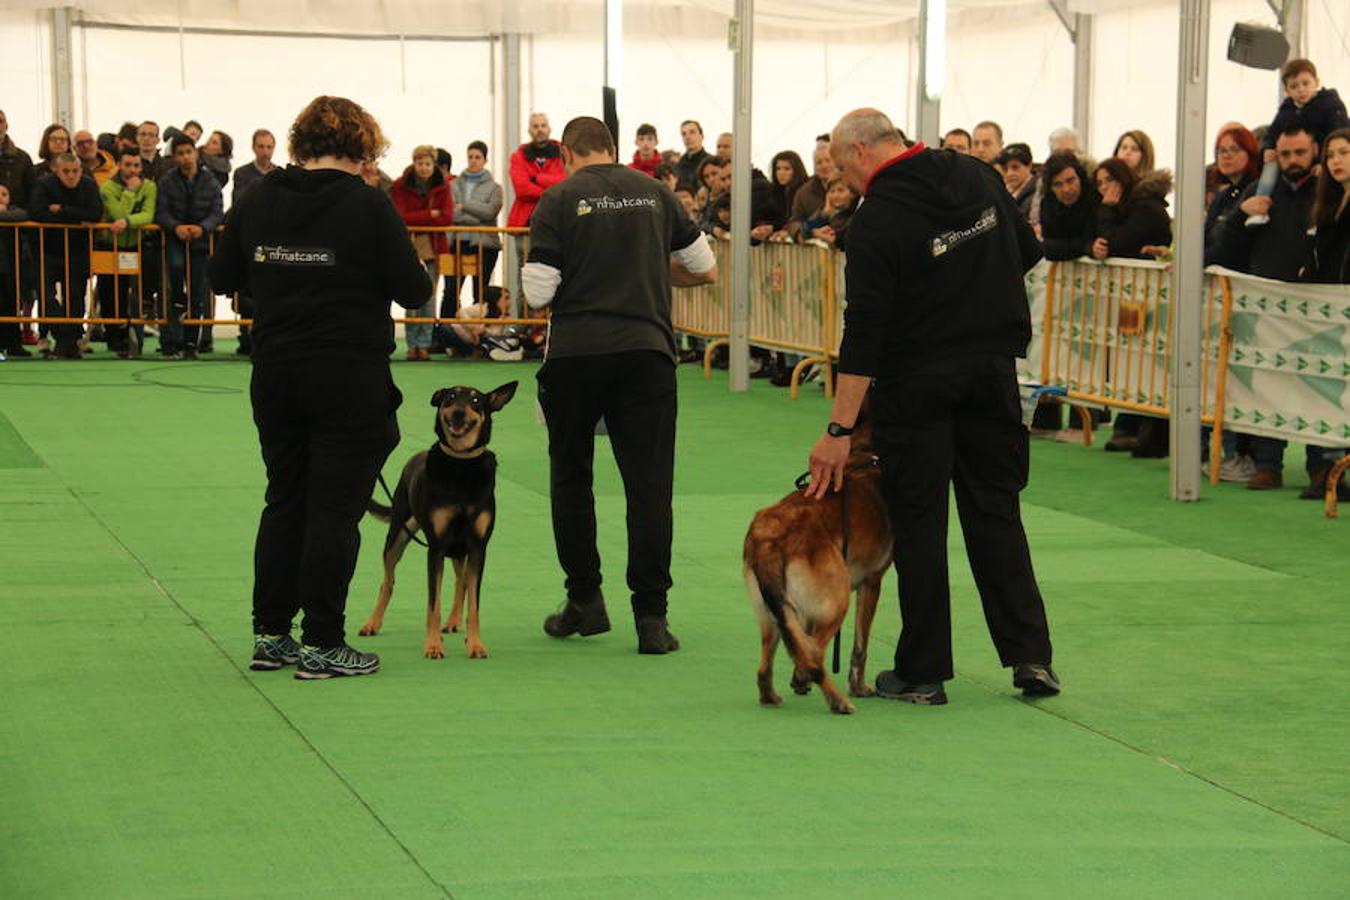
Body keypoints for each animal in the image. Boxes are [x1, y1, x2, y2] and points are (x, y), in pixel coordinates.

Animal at [359, 383, 515, 661]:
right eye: (450, 397)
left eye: (476, 401)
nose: (458, 414)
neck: (461, 464)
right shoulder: (437, 547)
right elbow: (433, 603)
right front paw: (433, 646)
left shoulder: (477, 547)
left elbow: (474, 603)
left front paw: (475, 644)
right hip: (399, 533)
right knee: (387, 581)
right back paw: (372, 623)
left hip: (459, 550)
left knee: (461, 581)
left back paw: (454, 622)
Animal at [745, 410, 891, 717]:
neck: (863, 455)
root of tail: (770, 536)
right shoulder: (871, 583)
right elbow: (860, 645)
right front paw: (859, 687)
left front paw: (798, 682)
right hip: (837, 601)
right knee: (815, 654)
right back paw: (838, 701)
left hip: (772, 613)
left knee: (768, 665)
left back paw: (771, 696)